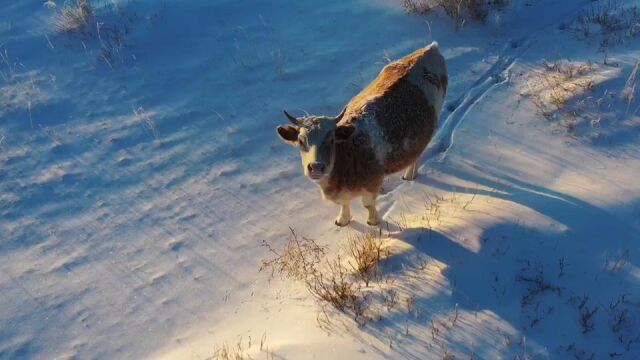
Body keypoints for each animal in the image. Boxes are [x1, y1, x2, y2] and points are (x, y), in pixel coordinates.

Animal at [278, 43, 448, 225]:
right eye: (301, 141)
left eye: (331, 140)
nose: (315, 167)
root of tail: (430, 48)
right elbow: (344, 204)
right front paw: (343, 219)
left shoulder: (372, 182)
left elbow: (368, 204)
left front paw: (373, 221)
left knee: (418, 152)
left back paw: (410, 175)